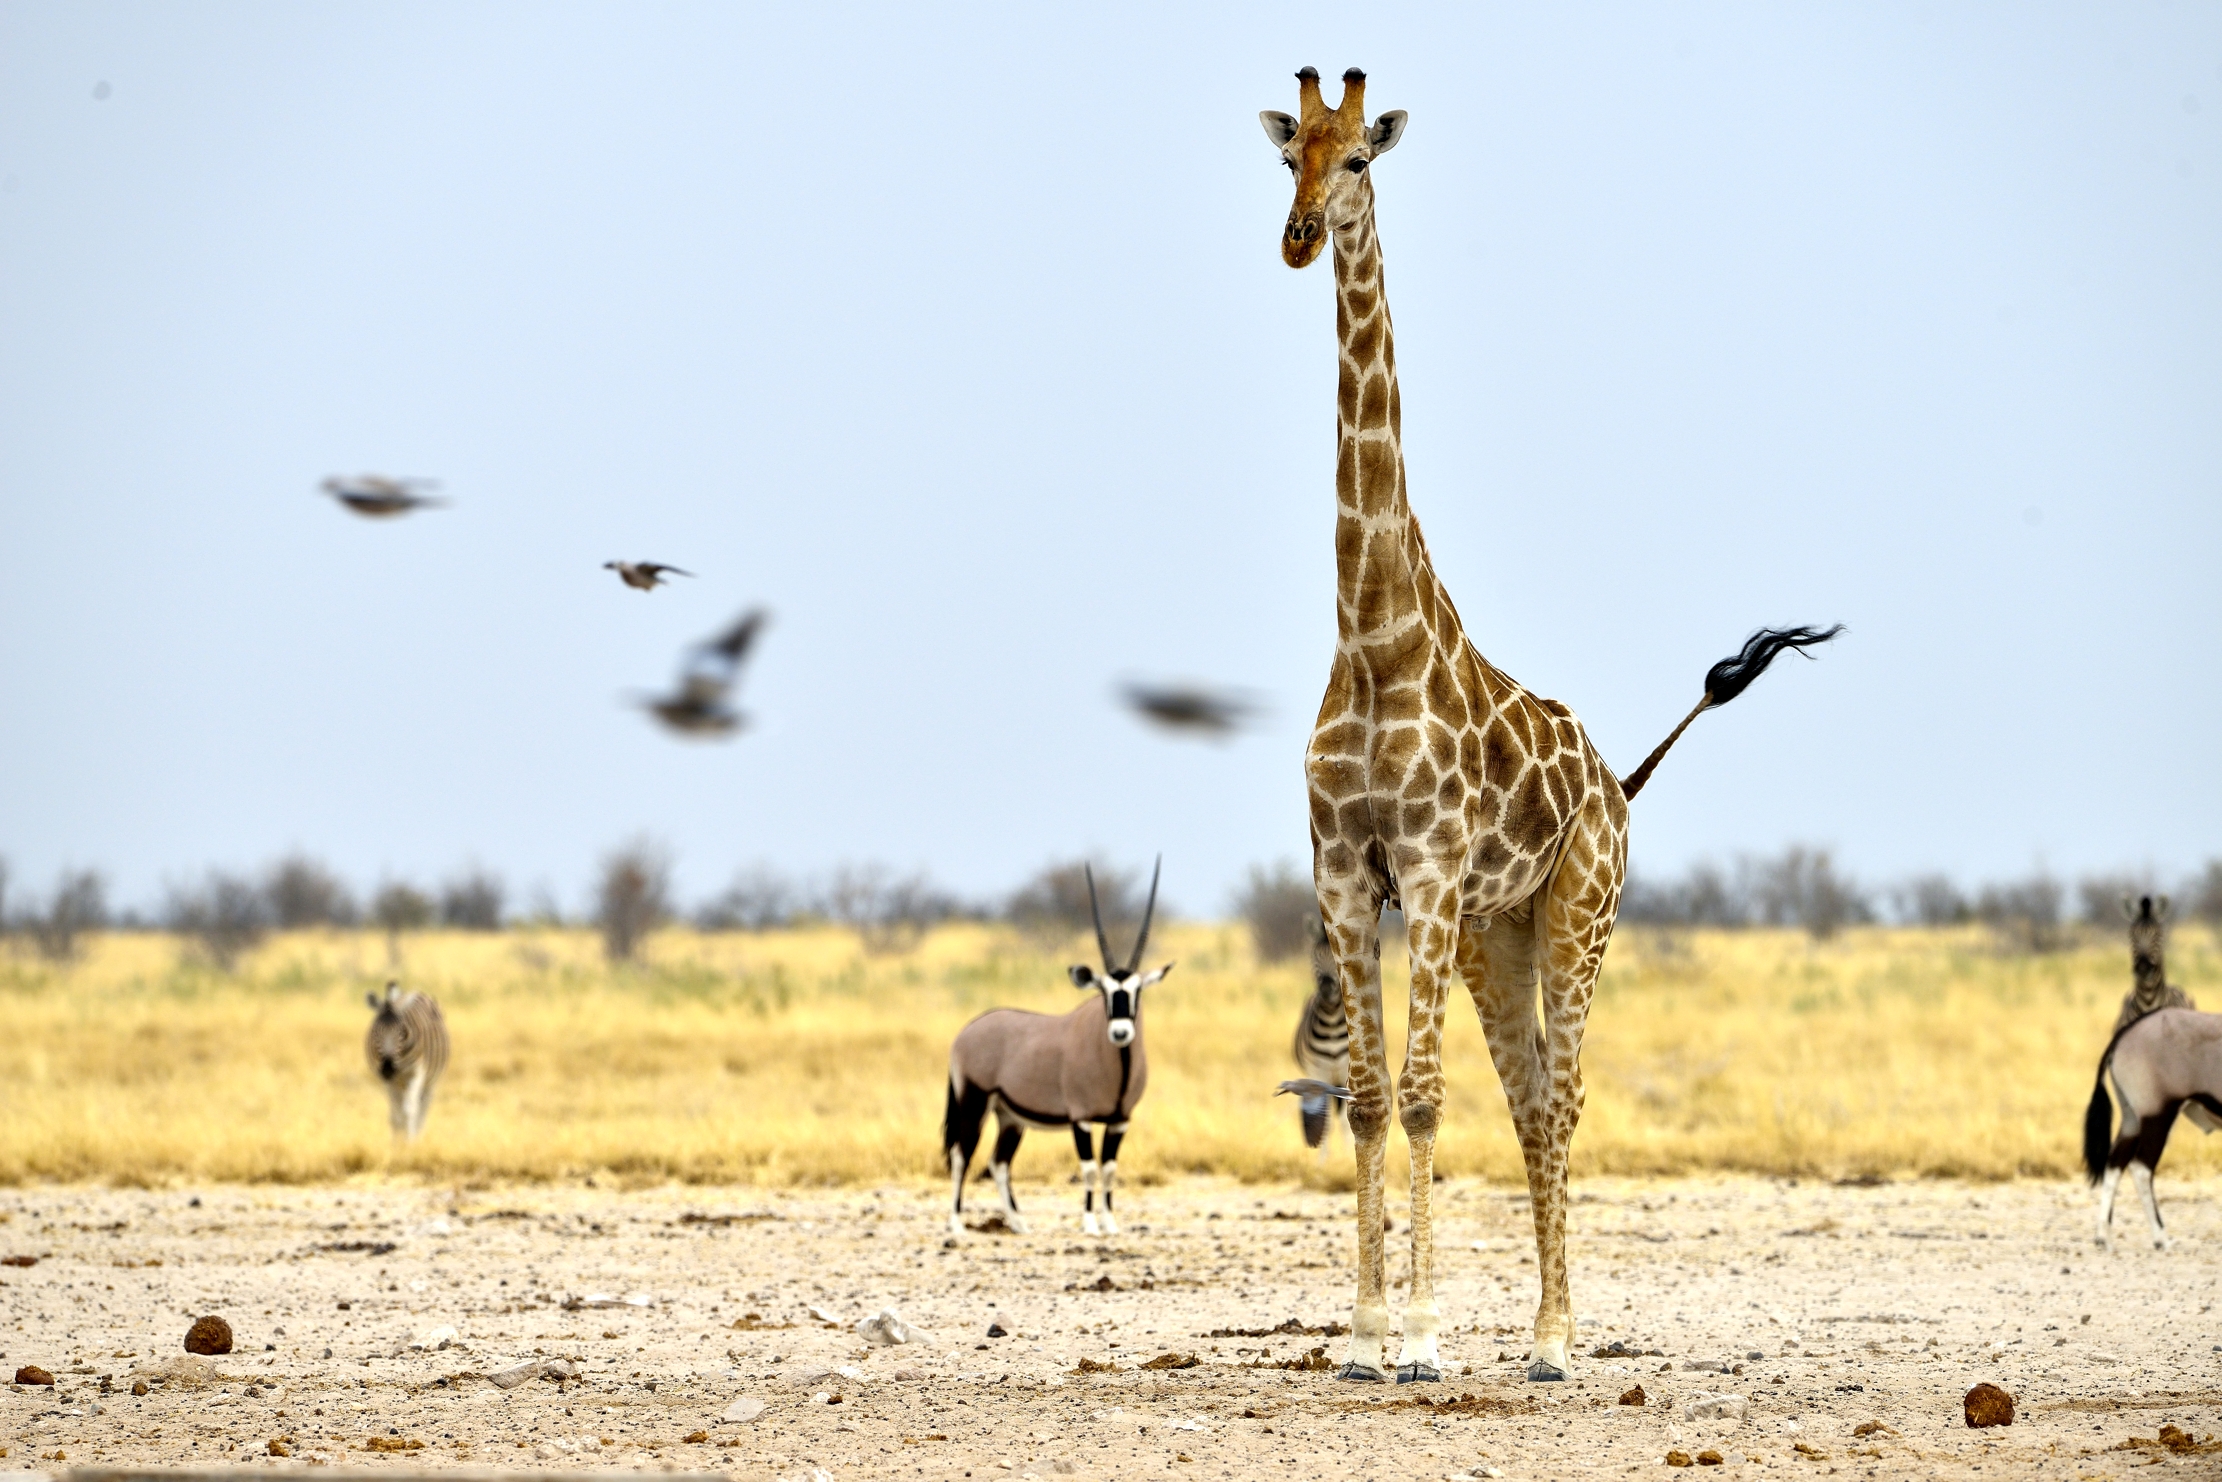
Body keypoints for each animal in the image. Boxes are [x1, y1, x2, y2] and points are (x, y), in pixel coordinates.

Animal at [1261, 67, 1839, 1384]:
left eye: (1358, 158)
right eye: (1286, 154)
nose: (1299, 236)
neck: (1370, 638)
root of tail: (1618, 783)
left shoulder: (1422, 869)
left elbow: (1422, 1094)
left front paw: (1424, 1338)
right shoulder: (1342, 870)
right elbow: (1366, 1096)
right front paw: (1361, 1338)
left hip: (1579, 915)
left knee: (1566, 1096)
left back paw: (1557, 1340)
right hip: (1499, 934)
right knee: (1529, 1098)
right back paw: (1535, 1332)